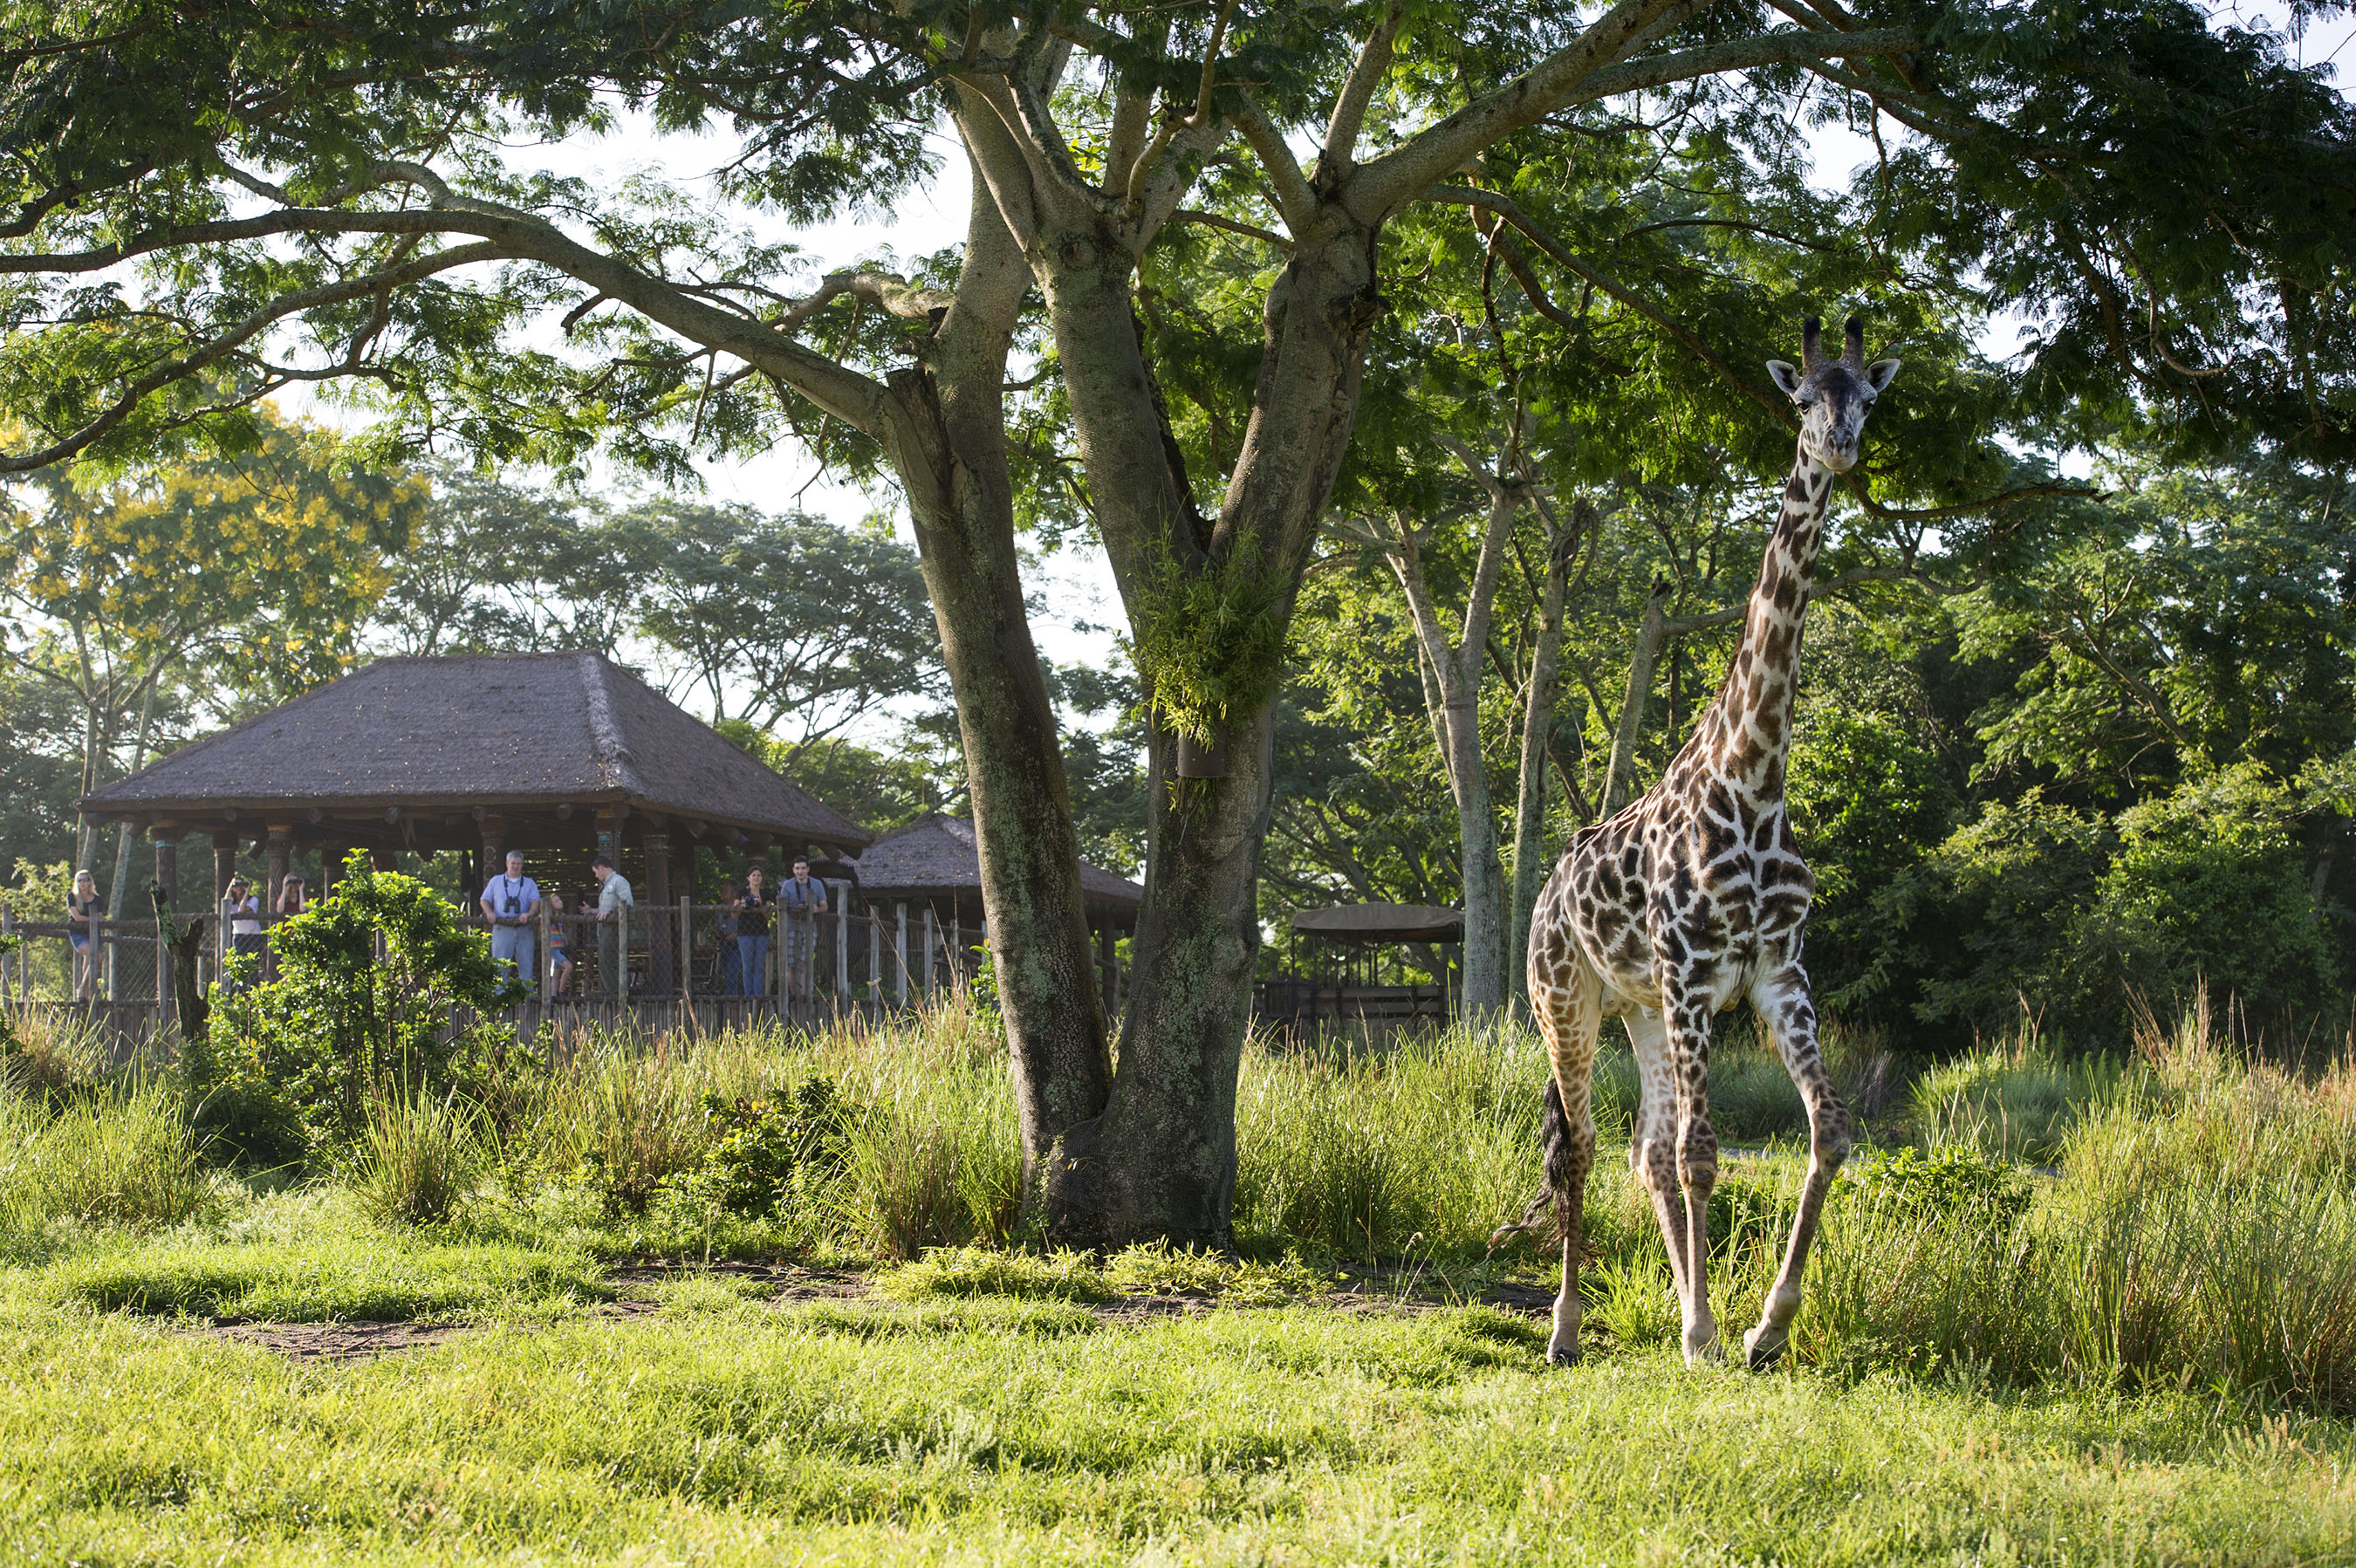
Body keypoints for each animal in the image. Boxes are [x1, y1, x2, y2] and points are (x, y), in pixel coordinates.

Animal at [1498, 311, 1903, 1365]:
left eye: (1867, 396)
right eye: (1800, 399)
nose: (1838, 445)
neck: (1753, 778)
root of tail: (1545, 893)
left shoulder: (1775, 970)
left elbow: (1828, 1131)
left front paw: (1760, 1327)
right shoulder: (1691, 972)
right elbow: (1704, 1153)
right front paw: (1709, 1327)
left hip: (1640, 1010)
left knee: (1642, 1147)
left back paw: (1693, 1324)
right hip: (1567, 1002)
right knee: (1584, 1145)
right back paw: (1566, 1327)